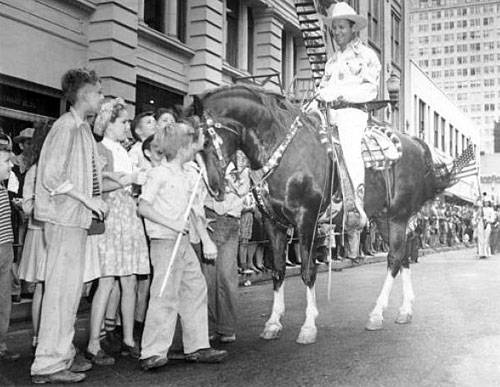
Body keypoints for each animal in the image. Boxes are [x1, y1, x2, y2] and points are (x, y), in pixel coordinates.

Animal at [187, 84, 454, 342]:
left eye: (206, 141)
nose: (214, 188)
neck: (283, 149)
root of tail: (414, 143)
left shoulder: (306, 218)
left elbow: (307, 270)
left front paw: (308, 327)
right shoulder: (274, 223)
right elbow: (278, 270)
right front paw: (273, 323)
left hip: (397, 217)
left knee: (395, 258)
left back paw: (377, 314)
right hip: (384, 219)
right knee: (405, 255)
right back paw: (405, 310)